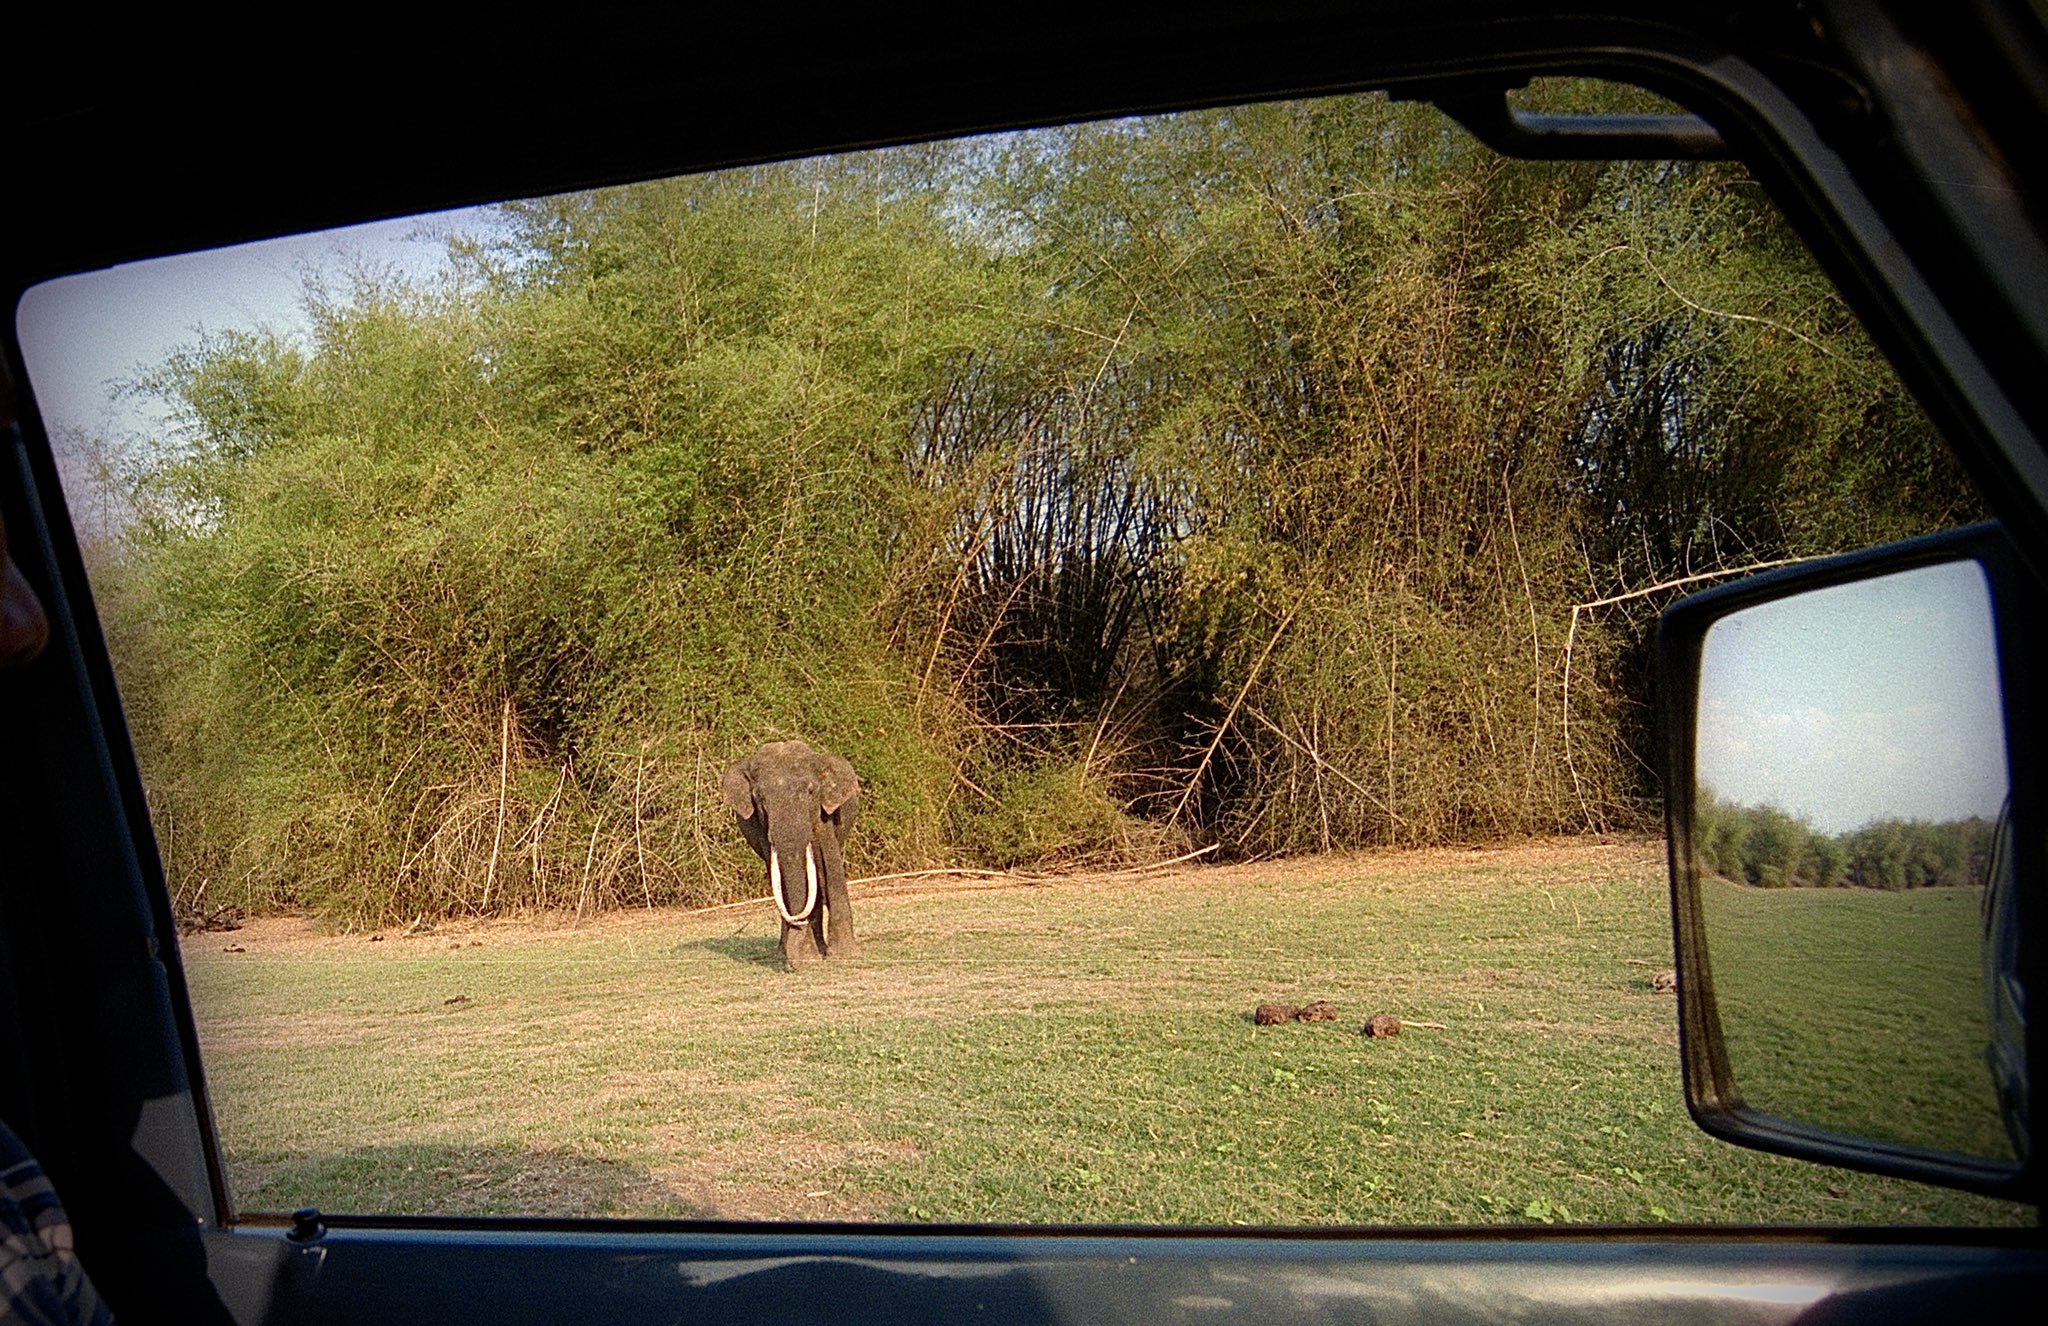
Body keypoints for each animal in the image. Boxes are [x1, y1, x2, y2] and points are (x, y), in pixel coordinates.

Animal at [724, 741, 860, 971]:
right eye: (759, 798)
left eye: (811, 791)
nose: (799, 921)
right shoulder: (761, 828)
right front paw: (807, 957)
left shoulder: (823, 813)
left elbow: (828, 863)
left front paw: (844, 956)